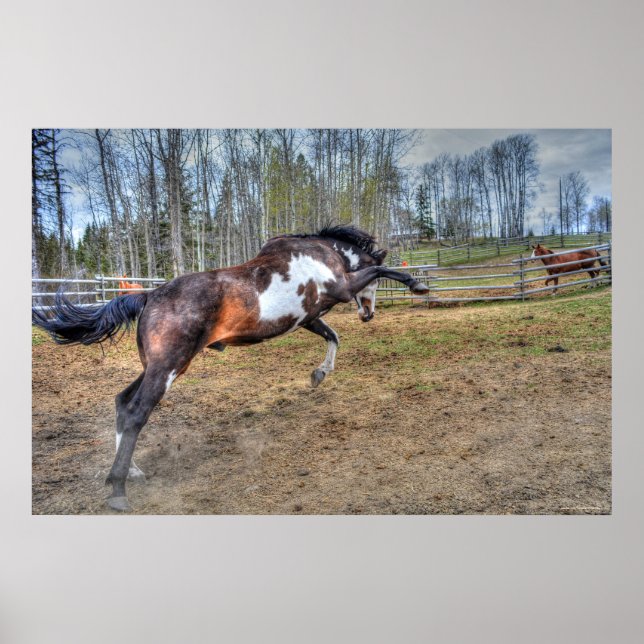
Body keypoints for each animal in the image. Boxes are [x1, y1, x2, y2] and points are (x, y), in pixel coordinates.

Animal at [32, 225, 431, 512]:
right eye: (375, 288)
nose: (368, 315)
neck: (320, 254)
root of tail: (148, 296)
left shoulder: (308, 317)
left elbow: (332, 336)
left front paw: (319, 376)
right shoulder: (344, 287)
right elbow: (378, 268)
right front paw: (418, 284)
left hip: (157, 365)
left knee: (121, 401)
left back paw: (133, 470)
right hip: (169, 367)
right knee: (135, 412)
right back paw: (117, 489)